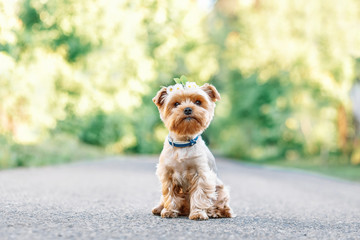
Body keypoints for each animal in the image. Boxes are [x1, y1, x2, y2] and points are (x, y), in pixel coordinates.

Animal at [151, 81, 233, 220]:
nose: (188, 109)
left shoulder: (201, 174)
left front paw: (198, 213)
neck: (183, 143)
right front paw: (169, 211)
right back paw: (159, 208)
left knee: (221, 205)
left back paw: (215, 212)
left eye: (198, 102)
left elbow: (200, 194)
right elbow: (169, 194)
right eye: (176, 104)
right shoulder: (167, 174)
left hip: (221, 189)